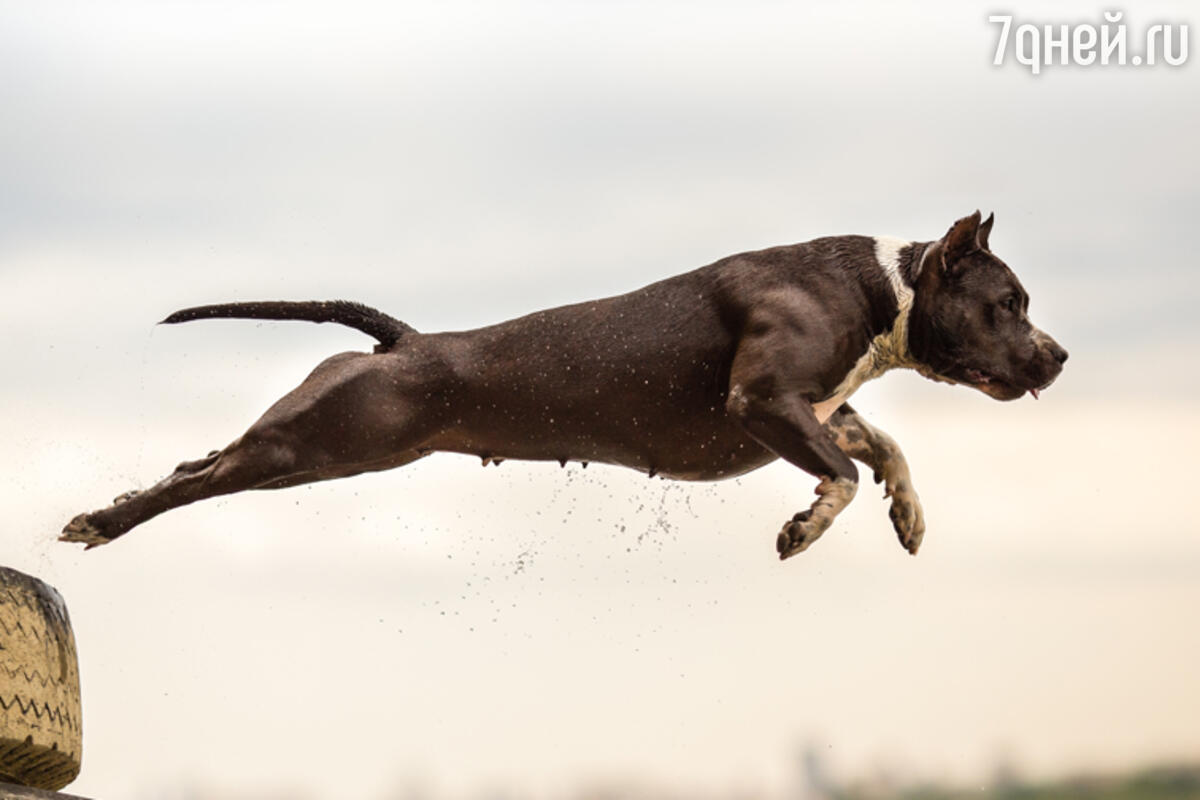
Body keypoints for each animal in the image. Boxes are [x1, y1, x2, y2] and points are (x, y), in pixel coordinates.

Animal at [58, 214, 1070, 563]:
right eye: (1009, 303)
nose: (1058, 356)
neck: (880, 287)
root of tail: (405, 342)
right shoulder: (765, 406)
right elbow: (843, 476)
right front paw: (806, 527)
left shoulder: (822, 409)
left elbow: (882, 450)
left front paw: (910, 513)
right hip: (312, 441)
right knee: (195, 477)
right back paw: (102, 521)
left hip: (331, 450)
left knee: (202, 461)